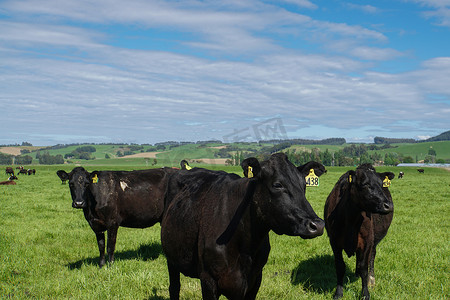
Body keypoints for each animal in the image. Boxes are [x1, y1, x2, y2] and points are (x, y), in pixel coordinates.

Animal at [160, 155, 326, 300]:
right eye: (277, 185)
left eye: (304, 185)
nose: (317, 225)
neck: (246, 247)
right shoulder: (208, 279)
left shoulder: (255, 279)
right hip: (171, 259)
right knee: (174, 288)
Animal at [324, 164, 394, 300]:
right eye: (365, 184)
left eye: (382, 185)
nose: (388, 205)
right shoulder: (334, 242)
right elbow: (340, 266)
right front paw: (338, 292)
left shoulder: (367, 242)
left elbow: (364, 268)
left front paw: (365, 293)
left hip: (373, 241)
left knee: (371, 257)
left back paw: (371, 280)